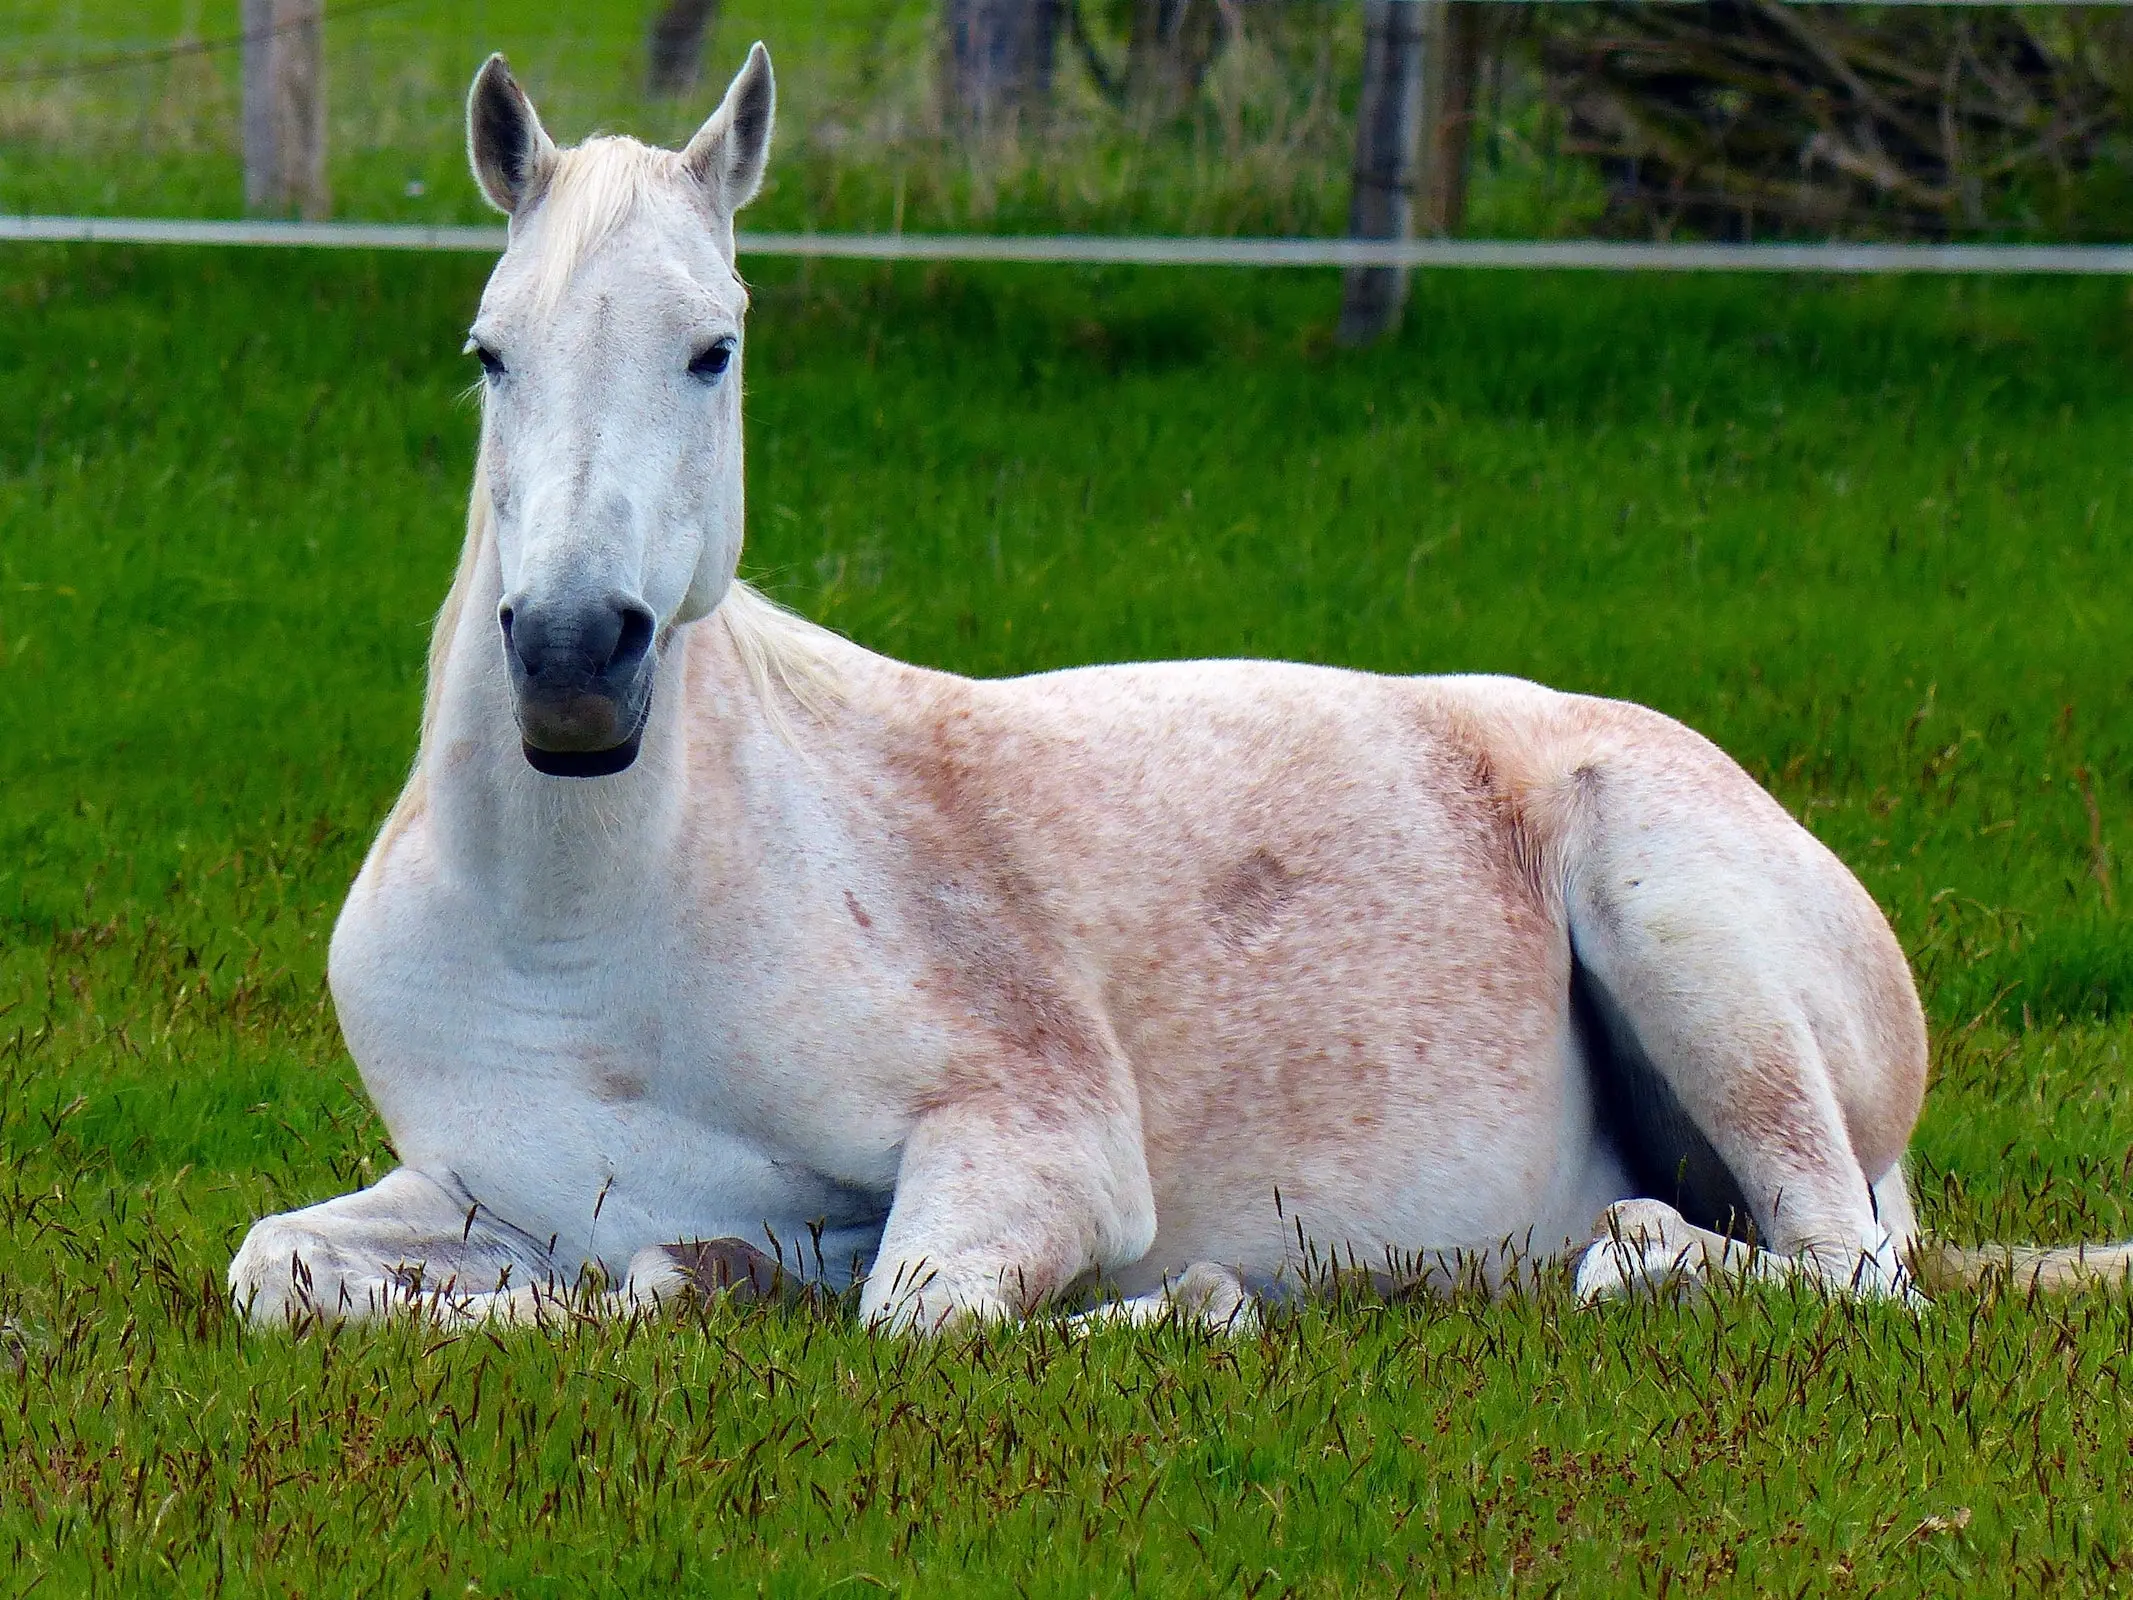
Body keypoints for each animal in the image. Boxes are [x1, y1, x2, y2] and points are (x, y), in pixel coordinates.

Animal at [233, 43, 2133, 1331]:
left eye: (716, 348)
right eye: (490, 352)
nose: (572, 657)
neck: (580, 944)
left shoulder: (1037, 1149)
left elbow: (916, 1306)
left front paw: (1197, 1303)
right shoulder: (469, 1192)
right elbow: (283, 1266)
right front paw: (665, 1281)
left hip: (1692, 947)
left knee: (1825, 1266)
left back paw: (1598, 1257)